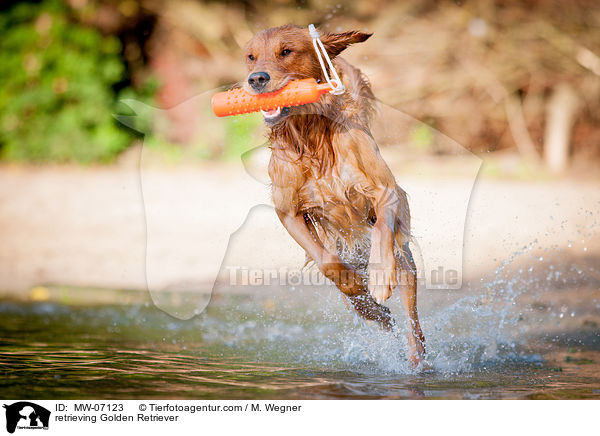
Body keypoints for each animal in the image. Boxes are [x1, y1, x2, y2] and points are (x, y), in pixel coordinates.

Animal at [241, 23, 424, 364]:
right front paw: (354, 284)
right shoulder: (288, 212)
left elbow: (381, 228)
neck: (310, 137)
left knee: (413, 319)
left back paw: (416, 354)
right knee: (375, 313)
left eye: (286, 51)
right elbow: (327, 262)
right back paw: (376, 311)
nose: (256, 79)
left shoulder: (386, 191)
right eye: (250, 56)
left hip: (405, 264)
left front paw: (379, 276)